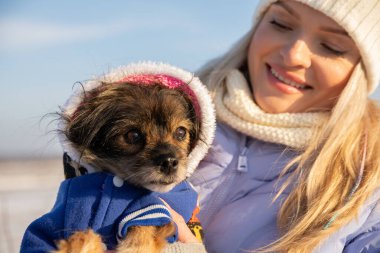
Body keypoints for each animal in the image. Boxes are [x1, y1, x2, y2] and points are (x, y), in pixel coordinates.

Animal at [20, 61, 215, 253]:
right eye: (133, 135)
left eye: (181, 132)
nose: (169, 161)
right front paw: (80, 244)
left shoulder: (156, 208)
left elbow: (146, 224)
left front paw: (133, 246)